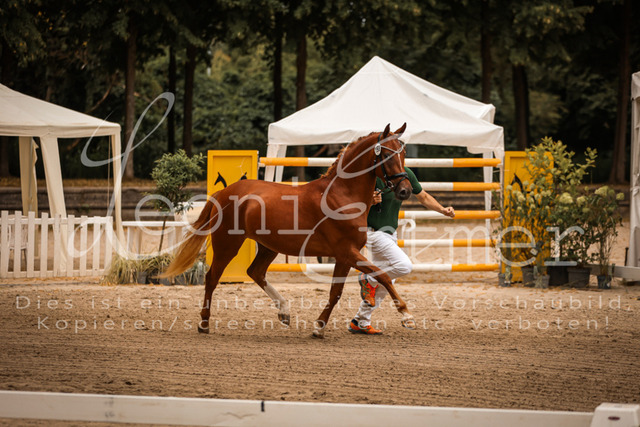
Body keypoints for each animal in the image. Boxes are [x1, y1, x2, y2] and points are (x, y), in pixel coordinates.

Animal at [162, 123, 416, 338]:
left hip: (269, 246)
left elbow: (336, 293)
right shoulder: (347, 252)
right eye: (387, 154)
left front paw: (318, 328)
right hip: (228, 244)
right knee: (212, 277)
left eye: (403, 153)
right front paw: (406, 315)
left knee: (255, 272)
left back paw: (284, 312)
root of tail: (223, 193)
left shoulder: (345, 257)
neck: (341, 195)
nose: (405, 190)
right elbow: (383, 276)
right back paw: (204, 323)